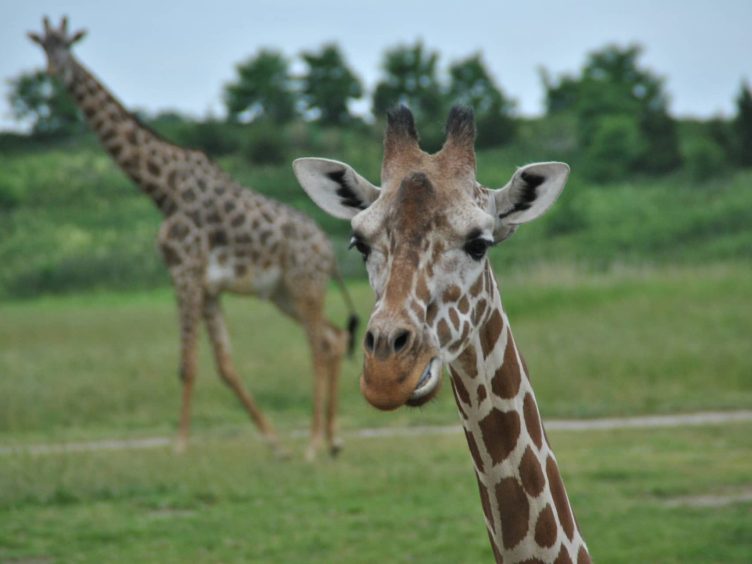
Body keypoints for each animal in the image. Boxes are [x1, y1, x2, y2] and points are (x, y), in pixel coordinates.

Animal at [29, 15, 358, 460]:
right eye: (43, 47)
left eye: (66, 46)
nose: (52, 71)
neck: (162, 189)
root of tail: (329, 251)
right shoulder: (207, 286)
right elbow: (224, 365)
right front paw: (274, 443)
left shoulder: (184, 271)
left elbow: (187, 364)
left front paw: (180, 446)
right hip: (284, 293)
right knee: (335, 337)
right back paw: (332, 441)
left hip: (303, 284)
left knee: (320, 346)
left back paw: (312, 445)